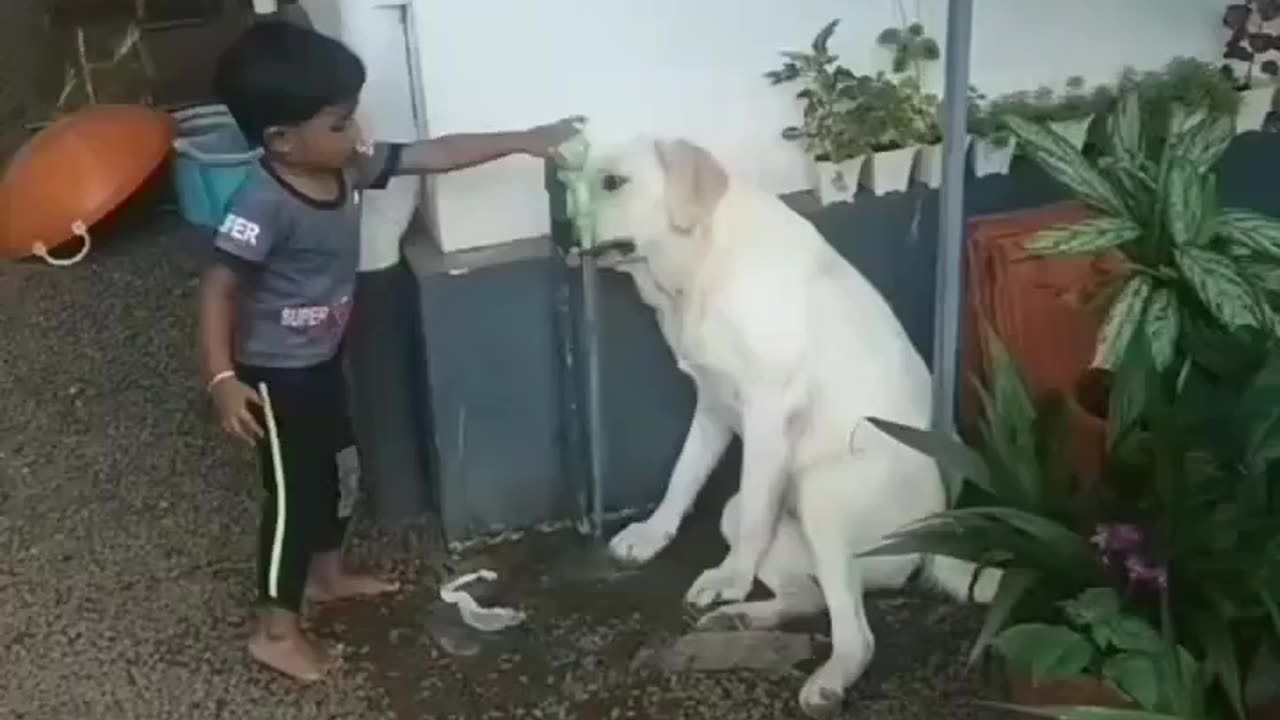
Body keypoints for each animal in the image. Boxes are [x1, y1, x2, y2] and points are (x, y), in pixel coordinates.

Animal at [586, 137, 993, 712]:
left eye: (612, 182)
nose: (559, 222)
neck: (701, 261)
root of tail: (937, 538)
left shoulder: (766, 409)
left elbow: (754, 510)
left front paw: (731, 577)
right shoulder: (712, 403)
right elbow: (683, 475)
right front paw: (653, 535)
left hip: (822, 495)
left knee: (857, 635)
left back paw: (827, 680)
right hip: (746, 517)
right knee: (809, 596)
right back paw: (743, 617)